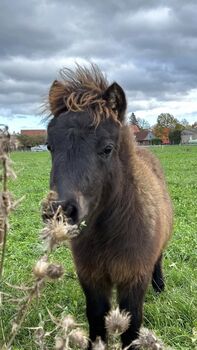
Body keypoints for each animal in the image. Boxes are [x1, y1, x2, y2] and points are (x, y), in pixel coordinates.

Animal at [45, 64, 172, 348]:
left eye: (107, 148)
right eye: (50, 146)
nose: (61, 211)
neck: (110, 231)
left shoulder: (134, 278)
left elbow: (131, 325)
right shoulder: (91, 278)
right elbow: (97, 318)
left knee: (158, 260)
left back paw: (160, 288)